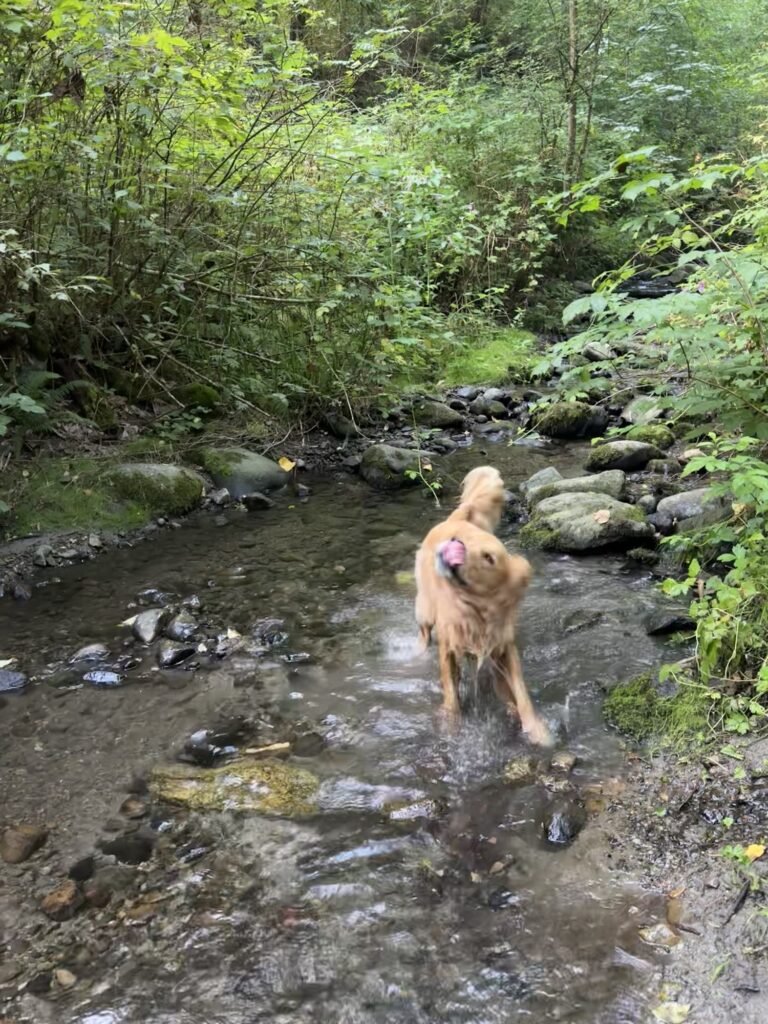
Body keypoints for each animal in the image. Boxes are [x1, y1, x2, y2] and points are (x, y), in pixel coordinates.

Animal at [417, 466, 548, 745]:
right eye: (460, 540)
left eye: (489, 557)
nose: (455, 542)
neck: (476, 611)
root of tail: (457, 516)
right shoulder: (448, 648)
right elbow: (451, 693)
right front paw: (451, 724)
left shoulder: (505, 647)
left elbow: (521, 693)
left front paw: (535, 729)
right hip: (425, 606)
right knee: (423, 630)